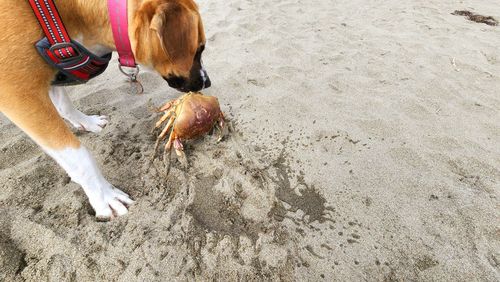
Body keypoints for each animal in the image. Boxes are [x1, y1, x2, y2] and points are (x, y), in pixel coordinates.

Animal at [0, 0, 210, 220]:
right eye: (199, 49)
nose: (208, 82)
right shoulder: (17, 92)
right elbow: (78, 156)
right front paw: (105, 196)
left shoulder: (50, 71)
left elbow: (63, 102)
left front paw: (86, 122)